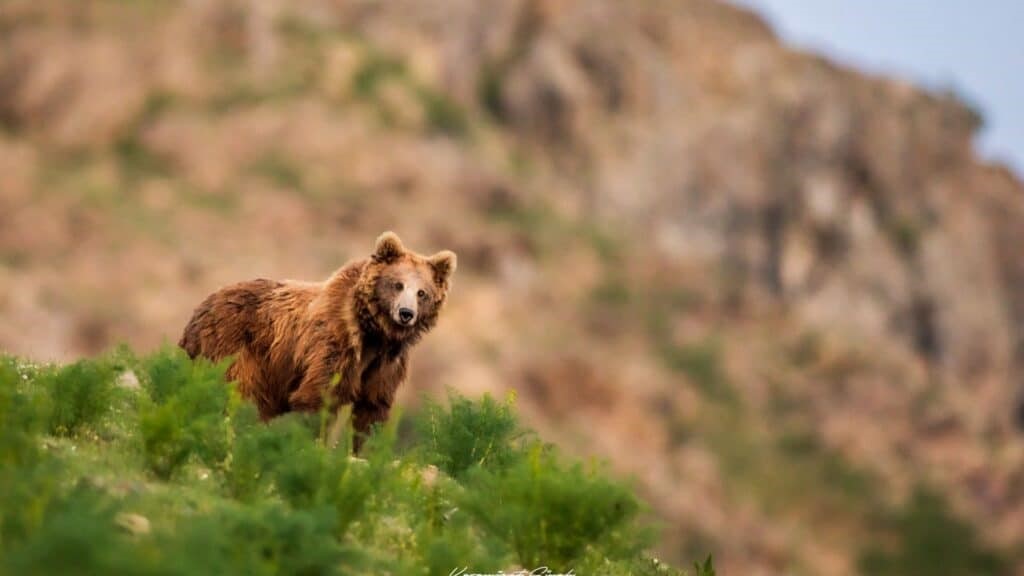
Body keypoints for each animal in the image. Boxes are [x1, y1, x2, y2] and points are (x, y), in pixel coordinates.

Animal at [179, 230, 456, 446]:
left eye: (422, 293)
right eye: (398, 284)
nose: (406, 313)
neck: (372, 334)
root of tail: (200, 309)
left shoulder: (385, 364)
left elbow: (372, 410)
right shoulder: (333, 343)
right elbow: (319, 397)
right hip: (235, 346)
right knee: (237, 392)